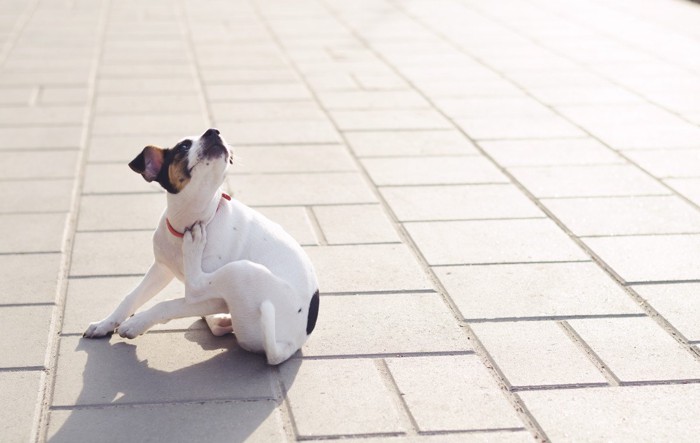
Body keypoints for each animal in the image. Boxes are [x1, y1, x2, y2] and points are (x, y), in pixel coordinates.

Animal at [82, 127, 320, 364]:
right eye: (183, 146)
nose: (213, 131)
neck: (191, 222)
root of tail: (288, 346)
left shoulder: (213, 298)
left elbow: (168, 304)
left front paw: (135, 323)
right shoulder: (161, 269)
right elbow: (131, 297)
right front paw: (105, 324)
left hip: (240, 271)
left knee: (195, 286)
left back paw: (194, 248)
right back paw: (221, 320)